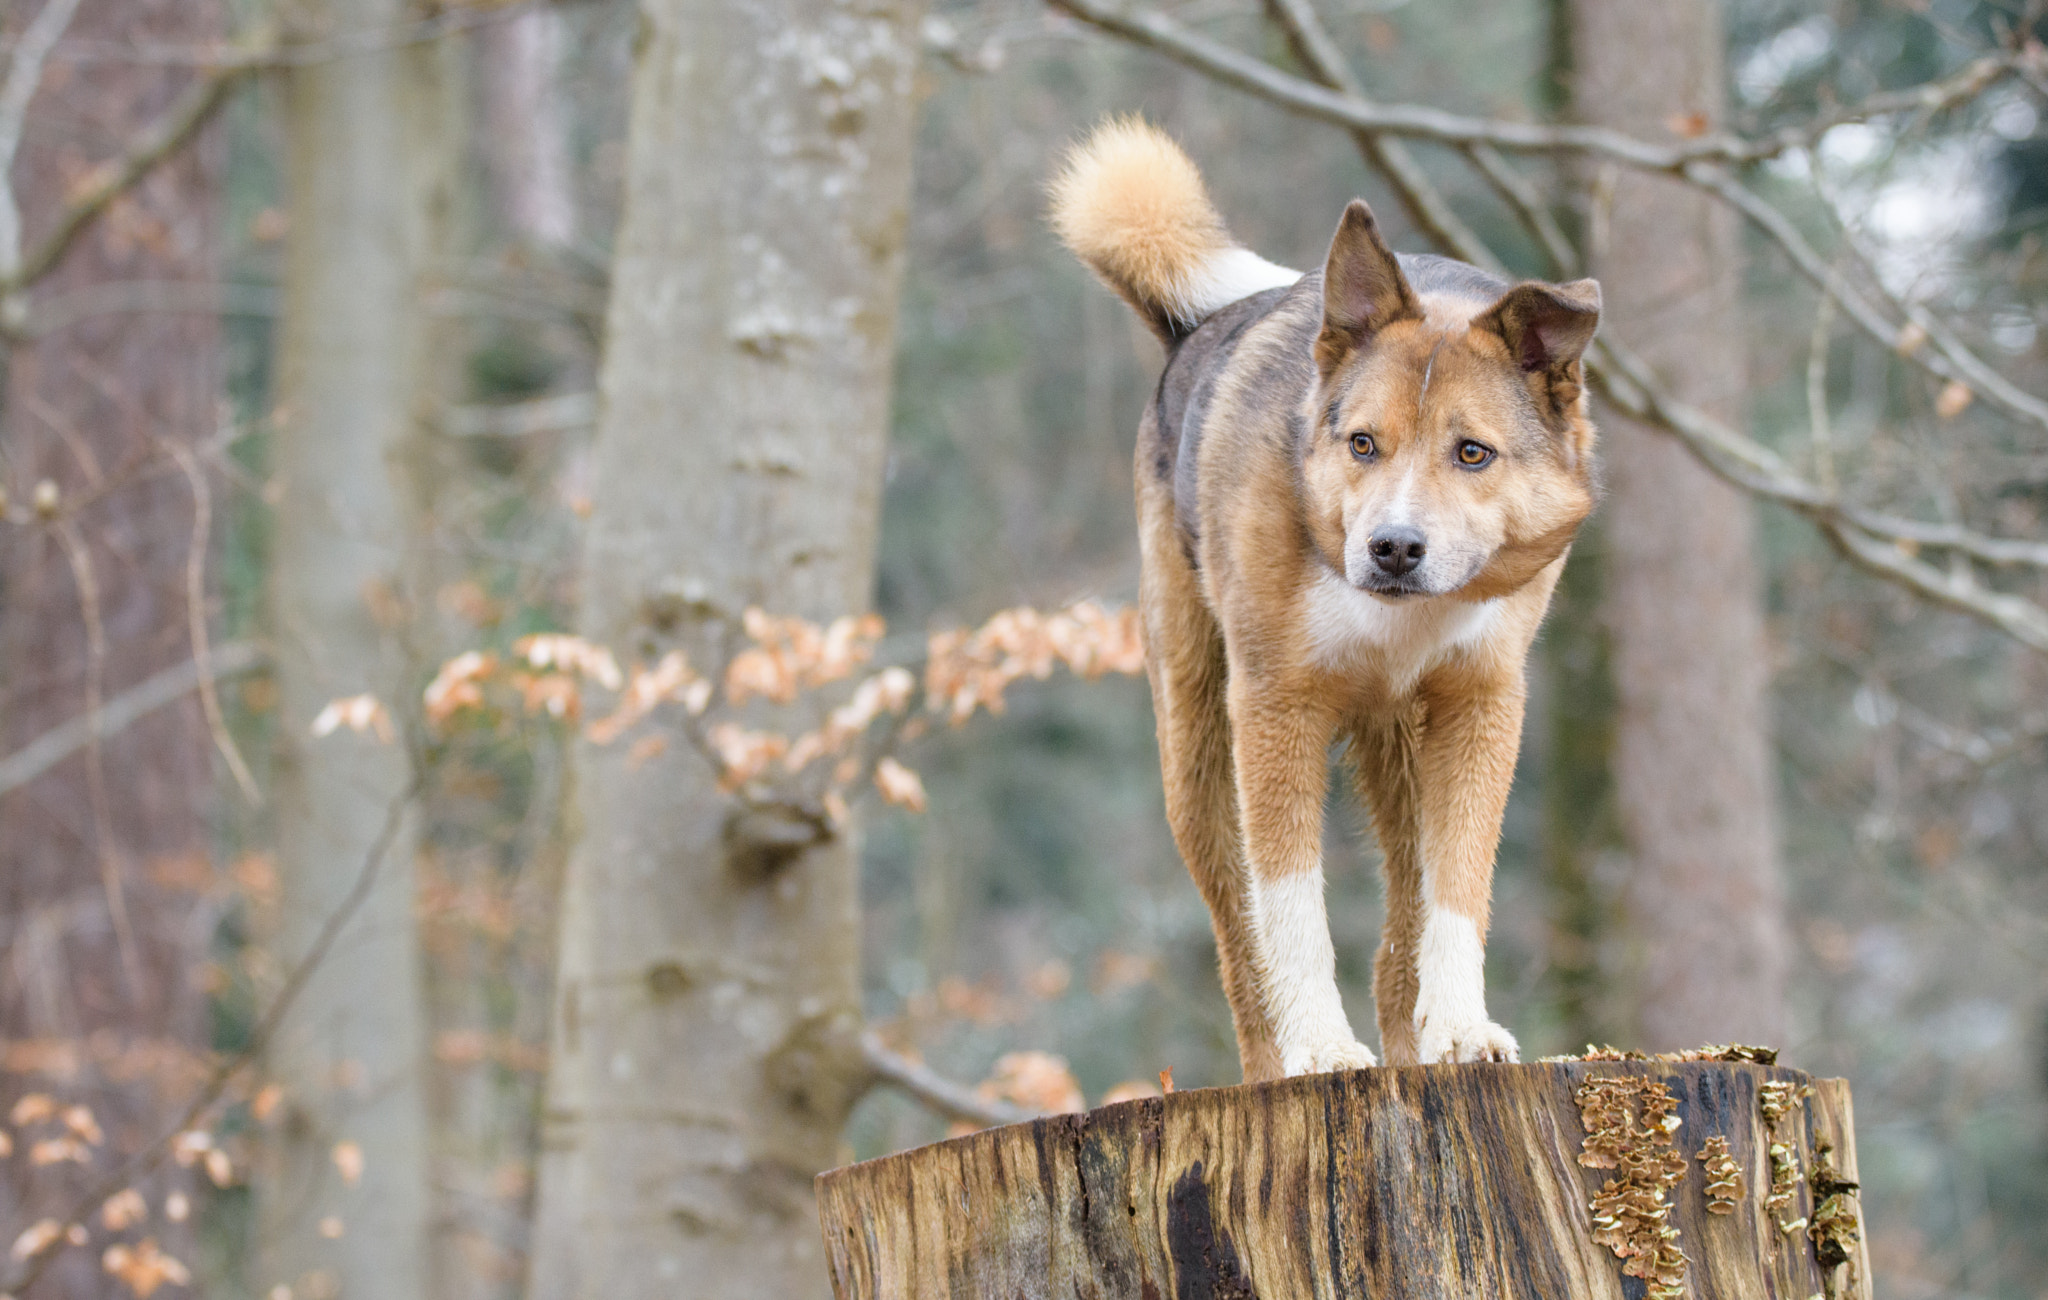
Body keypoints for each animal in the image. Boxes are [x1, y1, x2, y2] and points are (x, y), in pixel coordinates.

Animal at [1056, 119, 1597, 1080]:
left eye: (1473, 453)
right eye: (1362, 444)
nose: (1394, 548)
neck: (1401, 618)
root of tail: (1194, 327)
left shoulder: (1481, 706)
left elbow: (1458, 888)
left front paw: (1463, 1031)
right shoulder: (1277, 709)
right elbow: (1291, 905)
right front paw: (1320, 1048)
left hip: (1403, 752)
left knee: (1399, 932)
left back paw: (1415, 1046)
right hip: (1197, 756)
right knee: (1242, 946)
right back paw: (1276, 1064)